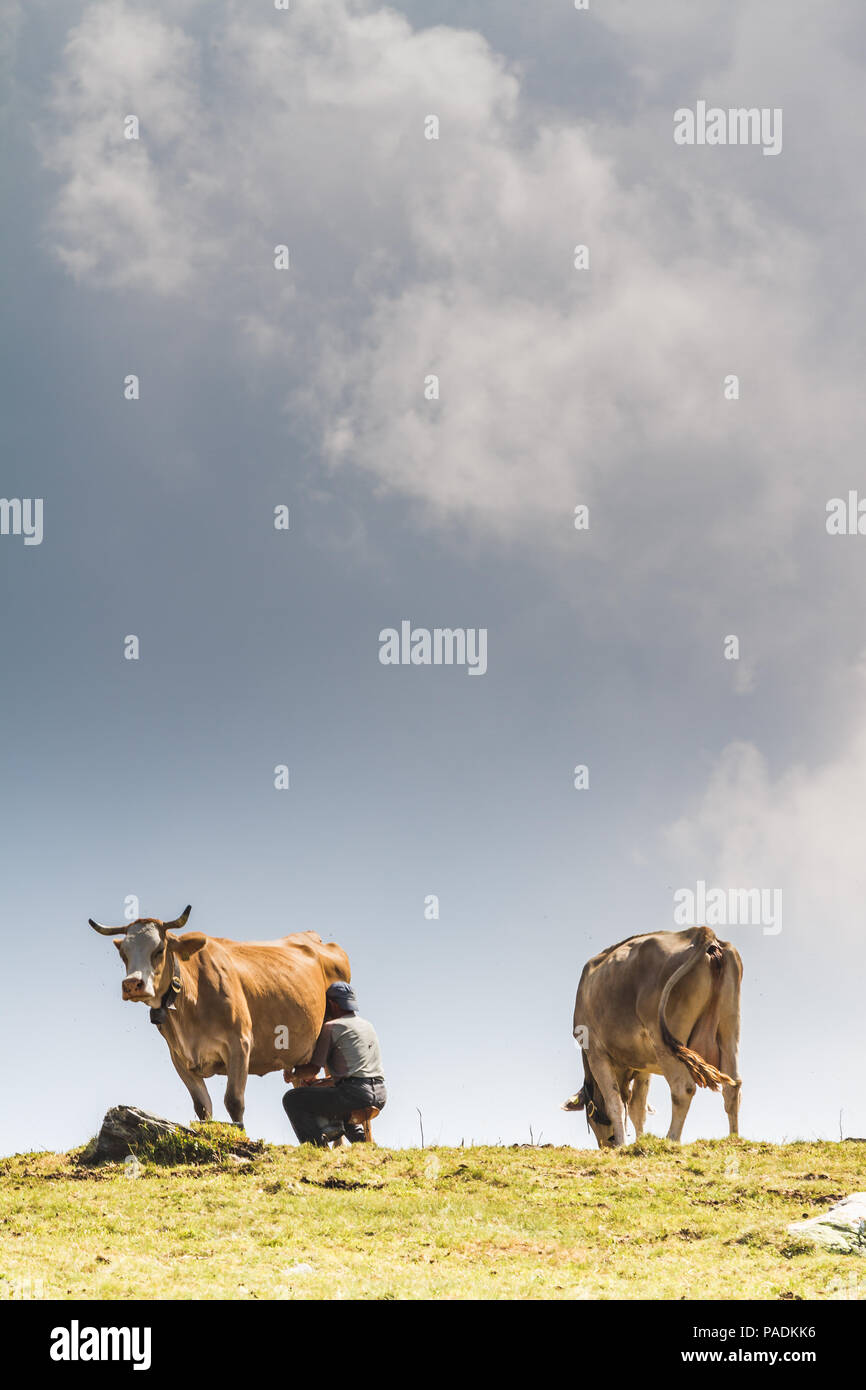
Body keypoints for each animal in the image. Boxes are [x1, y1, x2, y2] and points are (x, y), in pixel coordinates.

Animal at [91, 900, 353, 1128]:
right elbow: (202, 1107)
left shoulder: (240, 1043)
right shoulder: (179, 1058)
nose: (132, 984)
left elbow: (234, 1101)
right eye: (123, 954)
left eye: (159, 949)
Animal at [567, 928, 739, 1145]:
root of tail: (700, 932)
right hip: (728, 1030)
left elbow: (615, 1103)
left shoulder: (596, 1052)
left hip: (664, 1039)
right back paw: (734, 1139)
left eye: (591, 1118)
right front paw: (639, 1141)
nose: (607, 1145)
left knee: (683, 1089)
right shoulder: (643, 1064)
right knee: (733, 1088)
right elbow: (637, 1108)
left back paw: (672, 1139)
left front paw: (623, 1145)